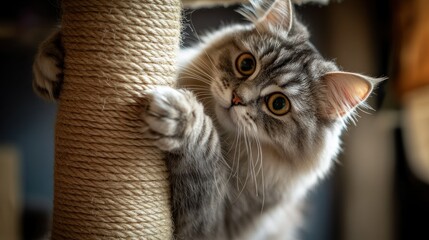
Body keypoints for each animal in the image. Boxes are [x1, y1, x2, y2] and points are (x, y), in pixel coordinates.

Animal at [34, 0, 382, 240]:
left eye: (278, 104)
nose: (237, 98)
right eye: (246, 64)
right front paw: (52, 58)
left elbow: (205, 146)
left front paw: (182, 118)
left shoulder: (212, 226)